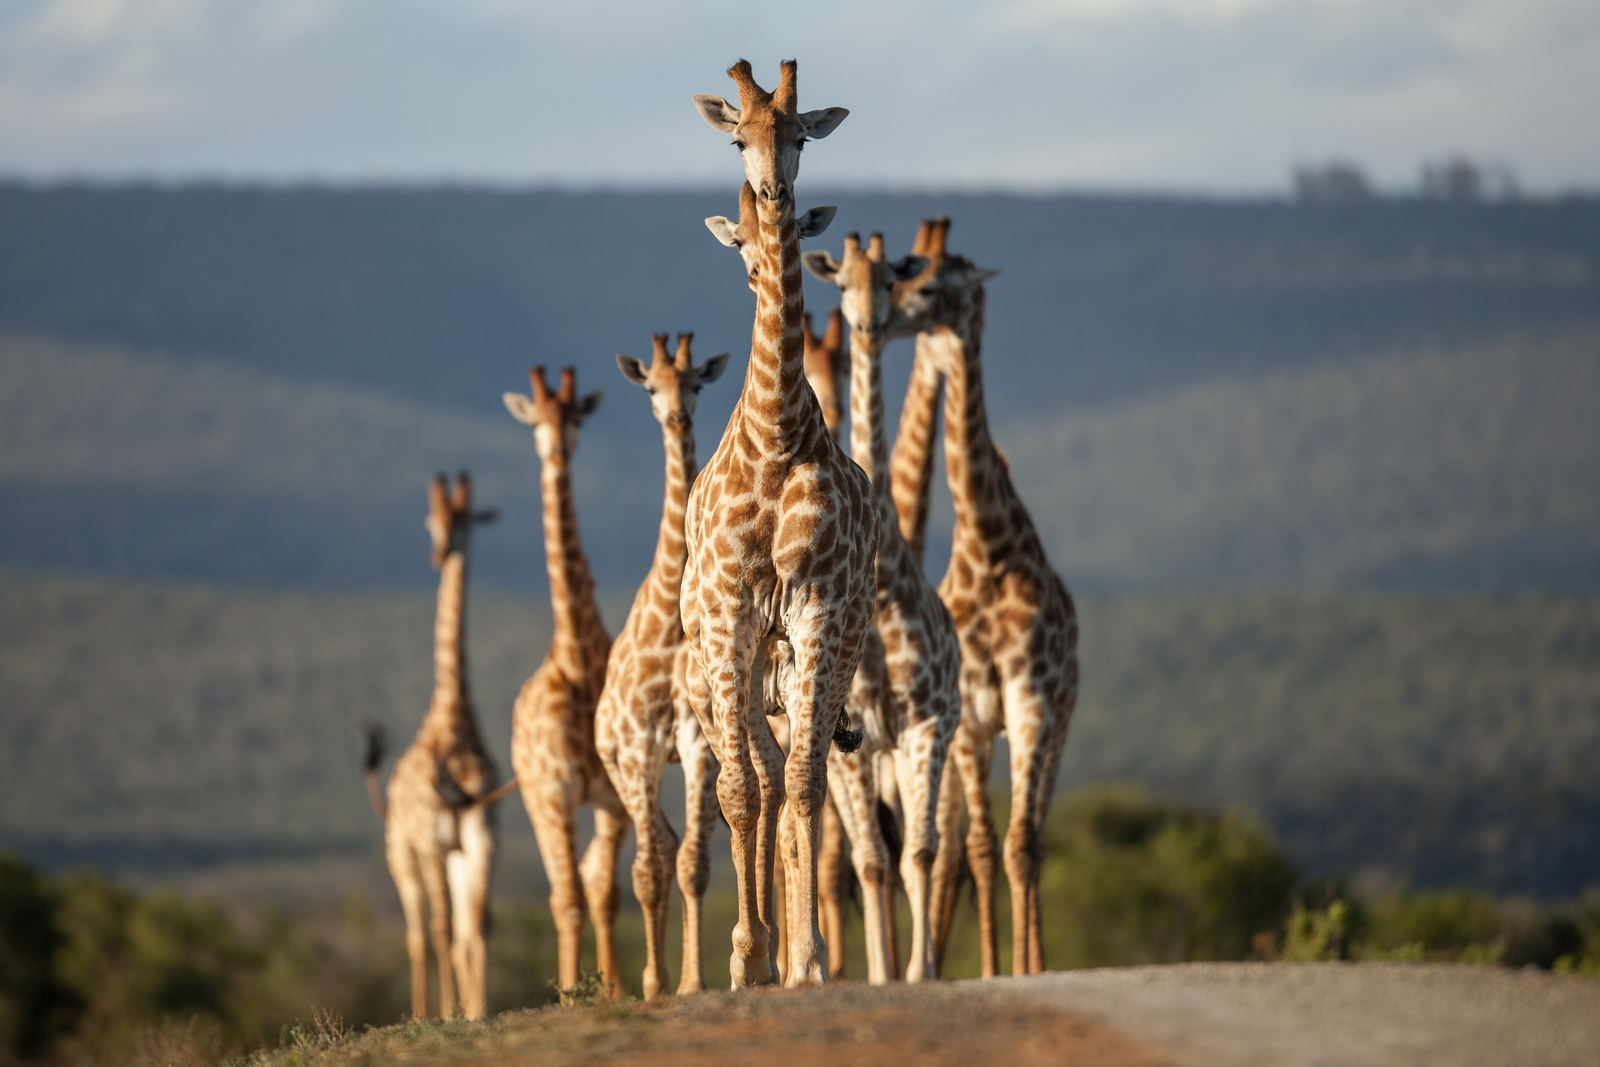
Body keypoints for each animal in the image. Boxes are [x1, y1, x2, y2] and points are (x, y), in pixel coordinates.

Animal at [366, 472, 504, 1020]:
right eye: (431, 520)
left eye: (464, 520)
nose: (441, 553)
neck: (454, 725)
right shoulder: (429, 842)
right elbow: (445, 930)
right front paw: (452, 1013)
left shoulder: (481, 837)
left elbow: (477, 927)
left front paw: (476, 1010)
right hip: (401, 856)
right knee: (419, 934)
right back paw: (424, 1013)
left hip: (450, 856)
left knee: (452, 930)